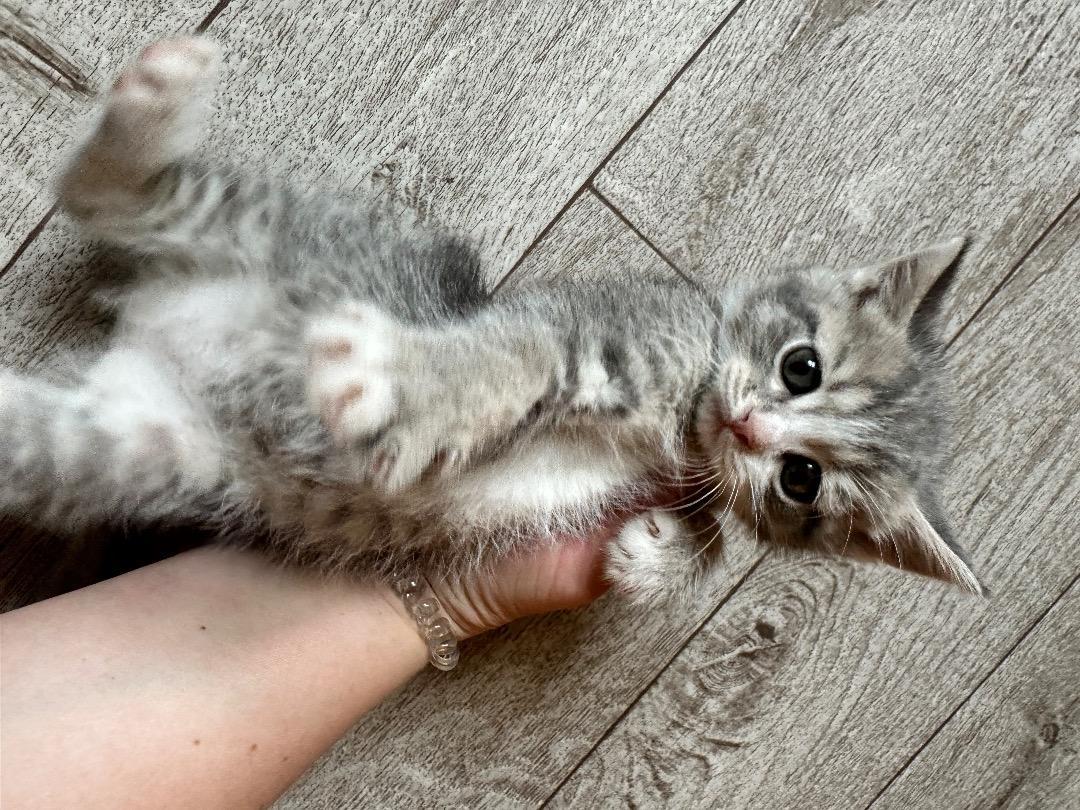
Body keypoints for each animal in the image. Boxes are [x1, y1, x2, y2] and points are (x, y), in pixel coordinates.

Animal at [0, 36, 982, 602]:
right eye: (800, 366)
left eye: (801, 482)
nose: (749, 425)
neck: (686, 430)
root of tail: (156, 325)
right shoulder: (614, 320)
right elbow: (515, 355)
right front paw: (409, 390)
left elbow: (710, 541)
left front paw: (657, 558)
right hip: (290, 235)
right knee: (108, 195)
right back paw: (152, 112)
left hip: (142, 446)